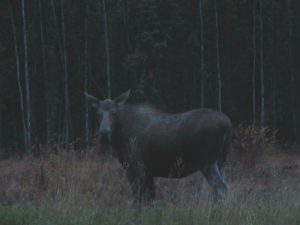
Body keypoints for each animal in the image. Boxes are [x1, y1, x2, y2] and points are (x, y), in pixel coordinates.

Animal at [85, 90, 233, 204]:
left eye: (115, 113)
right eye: (97, 113)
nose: (104, 133)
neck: (120, 137)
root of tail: (227, 125)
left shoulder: (136, 168)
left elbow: (140, 200)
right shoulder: (148, 172)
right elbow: (150, 200)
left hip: (208, 163)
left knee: (222, 189)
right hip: (221, 162)